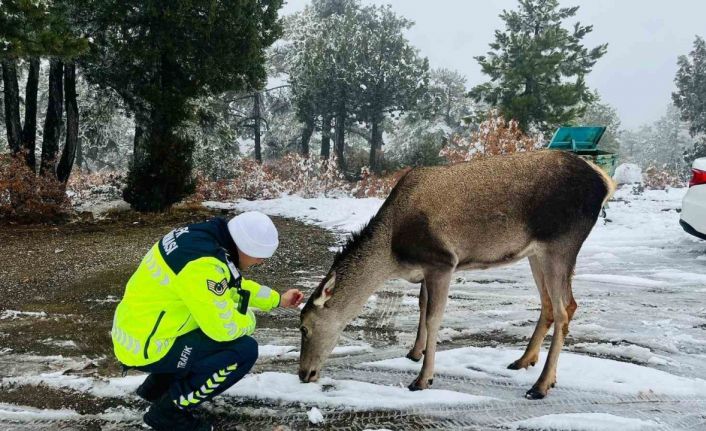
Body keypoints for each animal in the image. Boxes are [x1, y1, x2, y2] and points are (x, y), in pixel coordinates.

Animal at [296, 150, 612, 400]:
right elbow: (422, 307)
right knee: (553, 304)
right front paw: (415, 353)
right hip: (536, 253)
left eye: (304, 327)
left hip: (561, 243)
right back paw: (524, 361)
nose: (303, 374)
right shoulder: (425, 269)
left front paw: (423, 379)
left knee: (564, 309)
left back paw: (541, 385)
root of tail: (604, 182)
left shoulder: (442, 261)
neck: (392, 253)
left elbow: (434, 318)